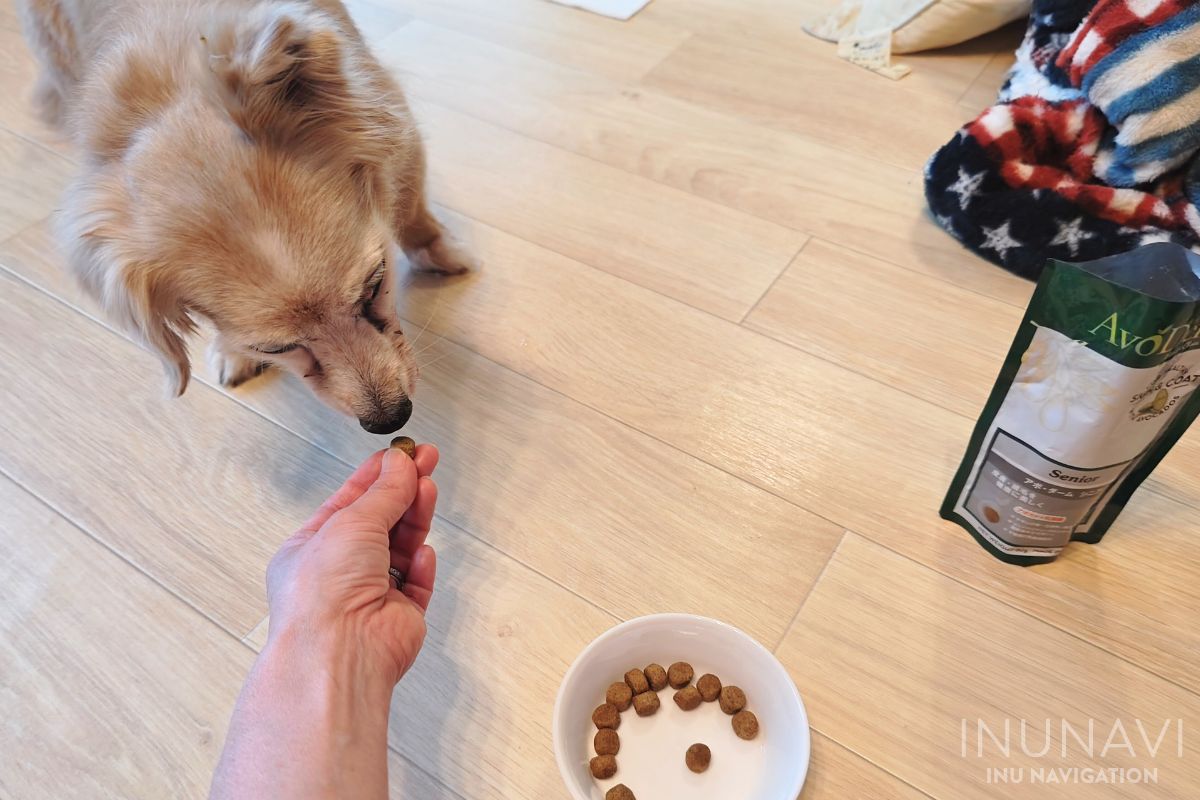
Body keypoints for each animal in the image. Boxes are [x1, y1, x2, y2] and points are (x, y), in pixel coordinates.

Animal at [19, 0, 468, 434]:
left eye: (376, 285)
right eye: (274, 348)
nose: (390, 419)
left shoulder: (387, 112)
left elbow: (410, 209)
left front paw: (442, 252)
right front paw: (233, 352)